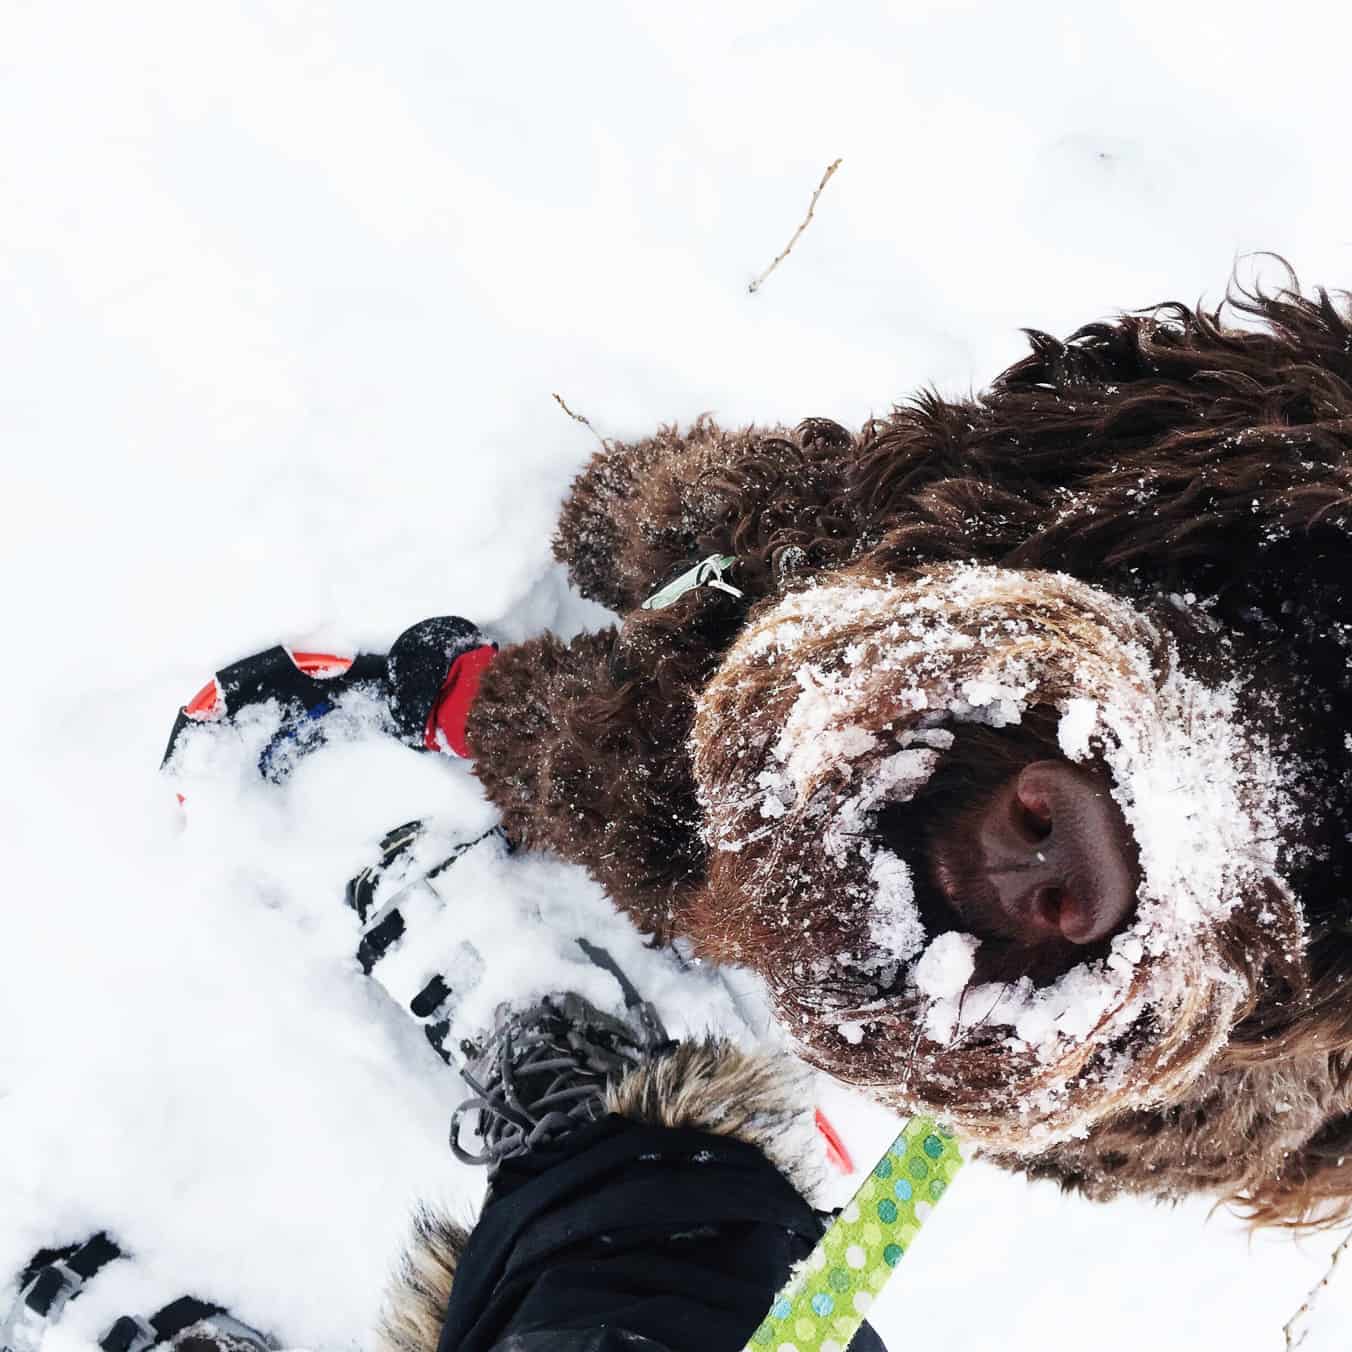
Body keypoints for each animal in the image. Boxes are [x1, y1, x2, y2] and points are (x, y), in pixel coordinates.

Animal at [470, 269, 1352, 1233]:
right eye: (1255, 585)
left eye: (1324, 900)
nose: (1074, 856)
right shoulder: (799, 503)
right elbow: (691, 490)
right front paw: (604, 506)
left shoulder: (649, 829)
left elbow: (566, 767)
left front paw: (488, 700)